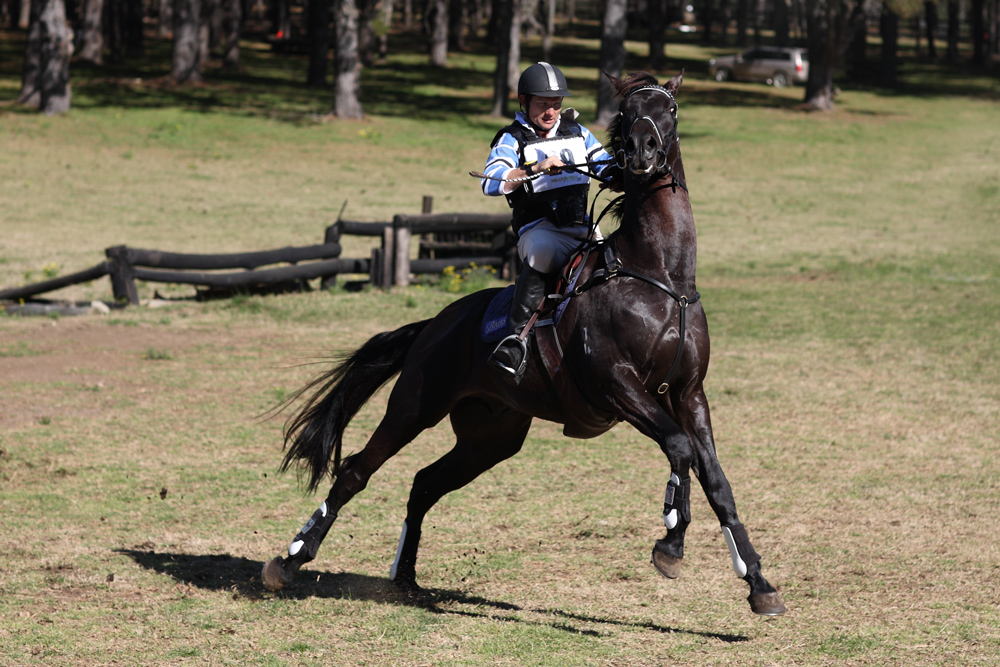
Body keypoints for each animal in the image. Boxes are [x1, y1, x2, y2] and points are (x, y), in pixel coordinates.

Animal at [264, 70, 788, 620]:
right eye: (626, 113)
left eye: (670, 111)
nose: (641, 152)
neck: (660, 276)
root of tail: (436, 323)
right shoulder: (617, 385)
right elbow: (679, 447)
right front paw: (670, 543)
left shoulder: (689, 394)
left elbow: (717, 482)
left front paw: (758, 583)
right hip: (414, 407)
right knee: (355, 472)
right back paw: (289, 560)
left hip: (492, 435)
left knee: (424, 483)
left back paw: (405, 579)